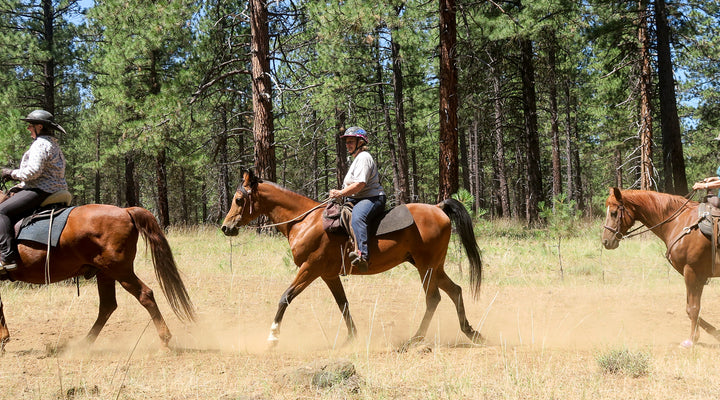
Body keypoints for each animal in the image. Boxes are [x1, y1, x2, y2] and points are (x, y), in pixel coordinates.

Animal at [0, 192, 195, 352]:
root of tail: (126, 211)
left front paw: (3, 342)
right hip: (105, 273)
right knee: (108, 305)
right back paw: (84, 343)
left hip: (120, 271)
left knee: (145, 295)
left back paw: (164, 340)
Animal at [221, 169, 484, 349]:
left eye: (239, 200)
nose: (225, 227)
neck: (304, 222)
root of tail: (438, 208)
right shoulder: (328, 274)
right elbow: (343, 304)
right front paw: (351, 337)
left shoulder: (310, 268)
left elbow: (286, 297)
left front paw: (272, 336)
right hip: (432, 266)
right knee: (455, 291)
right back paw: (471, 332)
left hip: (426, 266)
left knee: (433, 298)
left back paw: (416, 338)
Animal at [602, 187, 720, 348]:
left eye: (614, 213)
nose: (605, 241)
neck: (678, 222)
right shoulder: (699, 276)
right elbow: (692, 308)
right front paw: (714, 332)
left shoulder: (691, 271)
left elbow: (693, 308)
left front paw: (691, 340)